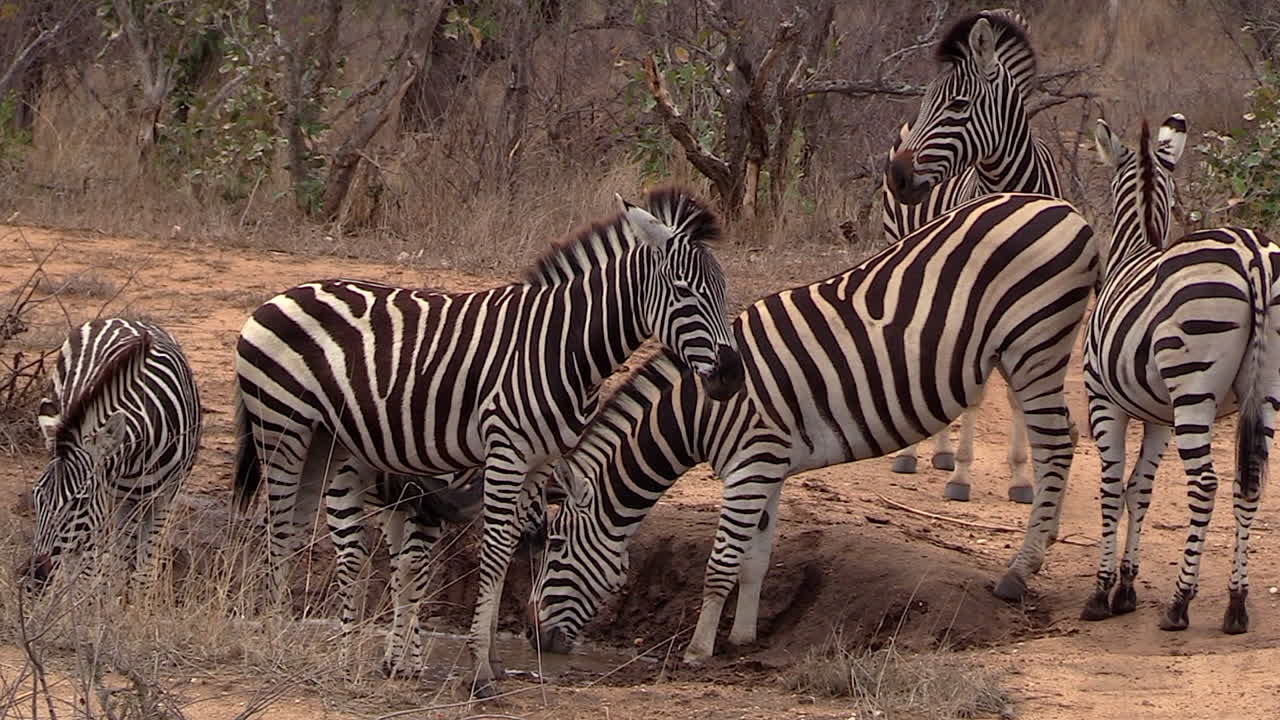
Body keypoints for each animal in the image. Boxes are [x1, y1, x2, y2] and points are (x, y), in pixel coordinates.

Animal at [19, 318, 201, 596]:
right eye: (36, 497)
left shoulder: (164, 498)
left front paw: (134, 604)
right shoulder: (106, 500)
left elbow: (143, 570)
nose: (36, 576)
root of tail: (123, 319)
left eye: (78, 502)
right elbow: (96, 569)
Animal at [232, 187, 743, 695]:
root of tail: (283, 294)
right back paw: (275, 639)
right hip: (282, 427)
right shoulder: (506, 451)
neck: (564, 347)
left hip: (326, 442)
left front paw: (493, 661)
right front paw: (479, 670)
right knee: (278, 529)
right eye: (684, 291)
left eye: (723, 292)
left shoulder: (540, 460)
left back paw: (291, 640)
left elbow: (512, 544)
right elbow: (495, 550)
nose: (732, 376)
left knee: (301, 528)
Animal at [529, 192, 1098, 662]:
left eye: (554, 546)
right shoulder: (767, 468)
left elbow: (721, 562)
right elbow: (755, 558)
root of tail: (1062, 208)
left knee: (1056, 445)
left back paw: (1019, 572)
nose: (536, 638)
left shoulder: (750, 466)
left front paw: (697, 649)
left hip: (1033, 346)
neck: (699, 412)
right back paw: (1041, 547)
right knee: (1064, 437)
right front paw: (743, 636)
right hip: (1023, 355)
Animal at [883, 8, 1064, 506]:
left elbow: (1019, 391)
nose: (898, 177)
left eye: (959, 105)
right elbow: (977, 389)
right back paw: (917, 455)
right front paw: (962, 475)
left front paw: (1023, 478)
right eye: (930, 100)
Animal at [1079, 115, 1280, 634]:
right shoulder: (1159, 418)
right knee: (1248, 484)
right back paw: (1236, 604)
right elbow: (1140, 489)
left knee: (1206, 484)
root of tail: (1252, 254)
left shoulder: (1102, 400)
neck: (1136, 247)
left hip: (1193, 385)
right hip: (1267, 388)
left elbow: (1111, 487)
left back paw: (1179, 603)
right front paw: (1126, 587)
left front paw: (1102, 590)